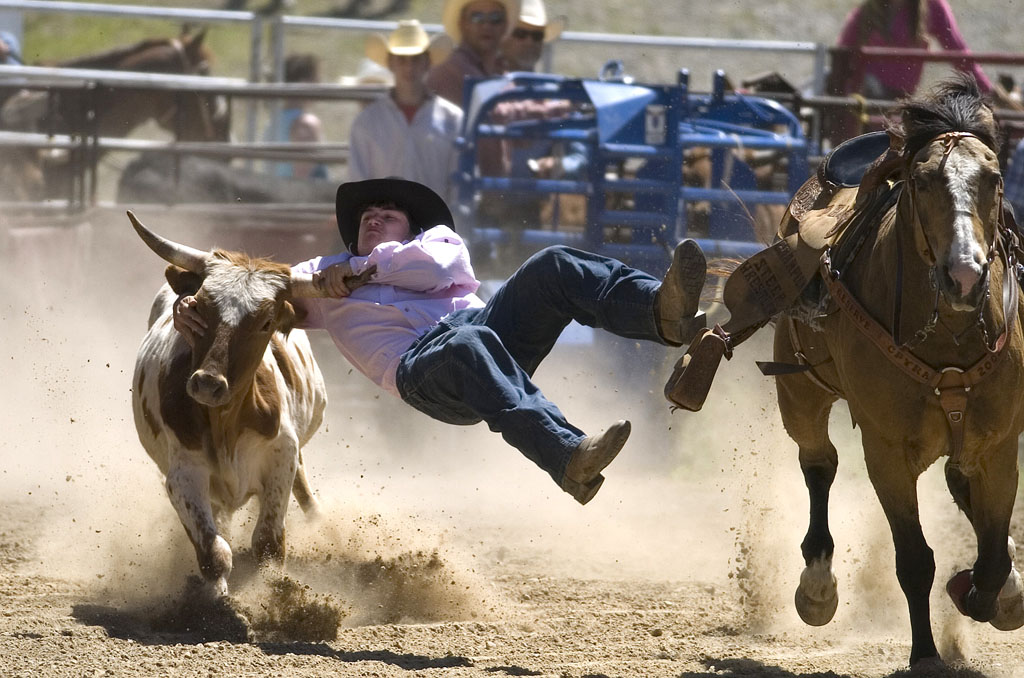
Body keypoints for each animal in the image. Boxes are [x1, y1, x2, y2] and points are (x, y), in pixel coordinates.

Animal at [774, 76, 1024, 671]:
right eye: (922, 180)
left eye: (995, 179)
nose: (964, 276)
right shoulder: (886, 453)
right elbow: (915, 560)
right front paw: (926, 654)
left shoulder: (1001, 445)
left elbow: (993, 556)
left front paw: (990, 594)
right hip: (800, 390)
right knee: (818, 462)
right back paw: (817, 585)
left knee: (963, 490)